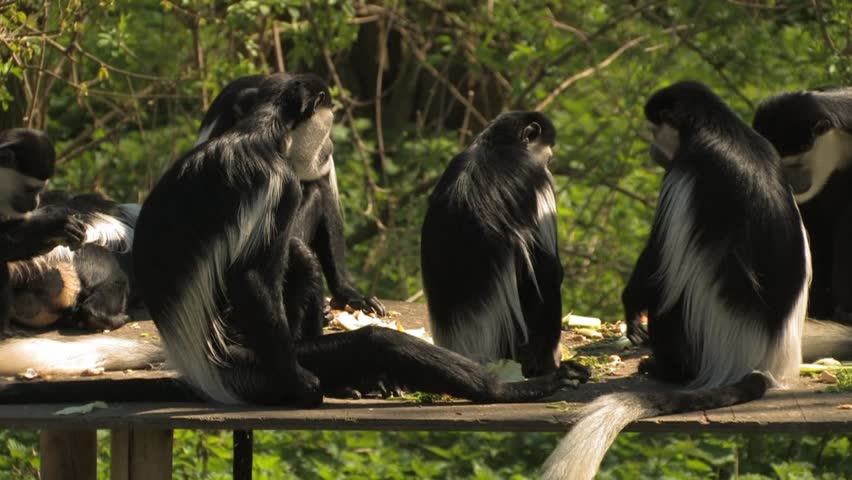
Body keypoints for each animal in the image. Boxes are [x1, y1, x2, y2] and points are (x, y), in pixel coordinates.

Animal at [420, 111, 563, 378]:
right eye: (547, 157)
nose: (549, 164)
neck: (497, 145)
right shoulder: (537, 179)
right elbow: (548, 270)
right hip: (511, 338)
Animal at [541, 81, 811, 480]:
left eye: (656, 129)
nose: (653, 150)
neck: (721, 129)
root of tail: (761, 362)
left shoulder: (686, 172)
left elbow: (657, 259)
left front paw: (632, 311)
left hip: (698, 339)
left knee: (670, 296)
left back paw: (661, 366)